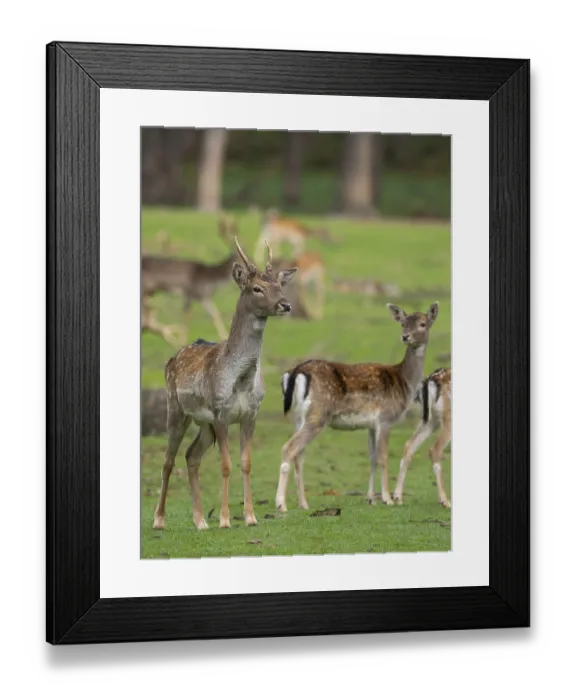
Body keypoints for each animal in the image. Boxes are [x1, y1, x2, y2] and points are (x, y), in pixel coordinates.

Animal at [153, 238, 298, 531]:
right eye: (257, 288)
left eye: (279, 285)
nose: (285, 305)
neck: (240, 380)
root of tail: (171, 360)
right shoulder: (220, 412)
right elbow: (226, 464)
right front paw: (224, 519)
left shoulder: (250, 414)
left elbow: (246, 463)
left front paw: (250, 517)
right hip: (177, 409)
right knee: (168, 460)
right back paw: (159, 520)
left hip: (203, 424)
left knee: (191, 455)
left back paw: (199, 521)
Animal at [275, 301, 440, 513]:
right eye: (403, 323)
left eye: (422, 324)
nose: (405, 336)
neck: (404, 382)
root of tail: (296, 371)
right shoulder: (386, 419)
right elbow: (383, 457)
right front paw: (387, 499)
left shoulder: (371, 425)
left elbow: (372, 457)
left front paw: (371, 499)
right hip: (317, 415)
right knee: (288, 448)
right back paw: (281, 504)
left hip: (297, 417)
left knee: (299, 454)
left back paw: (304, 504)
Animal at [392, 367, 451, 508]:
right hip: (446, 418)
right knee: (434, 449)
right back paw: (445, 501)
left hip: (431, 419)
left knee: (409, 445)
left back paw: (397, 497)